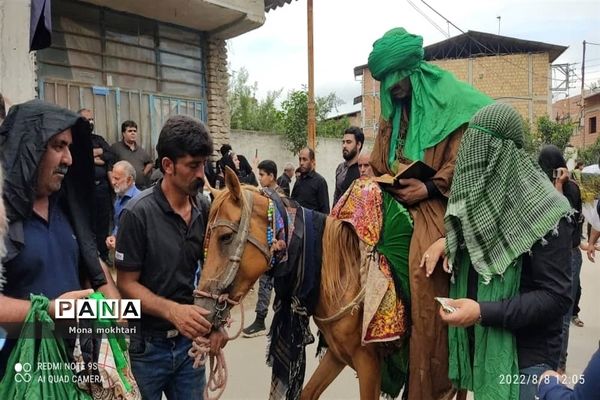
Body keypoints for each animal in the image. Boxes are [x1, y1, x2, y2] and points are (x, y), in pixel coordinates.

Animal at [198, 167, 384, 398]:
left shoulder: (368, 363)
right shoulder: (338, 354)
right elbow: (308, 392)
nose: (201, 309)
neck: (344, 276)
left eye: (225, 237)